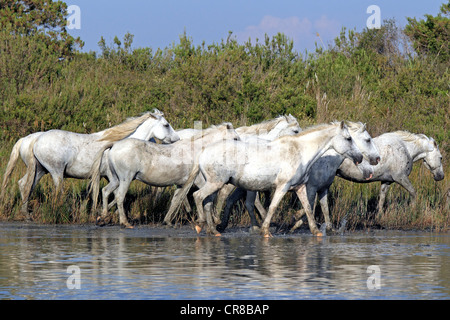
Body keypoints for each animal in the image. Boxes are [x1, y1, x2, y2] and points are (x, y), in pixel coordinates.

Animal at [19, 109, 179, 216]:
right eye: (166, 125)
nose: (177, 139)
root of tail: (36, 138)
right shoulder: (112, 176)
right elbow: (112, 193)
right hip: (55, 172)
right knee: (56, 190)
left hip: (40, 170)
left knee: (25, 185)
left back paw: (26, 213)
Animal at [89, 122, 241, 228]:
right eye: (235, 138)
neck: (197, 151)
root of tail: (114, 145)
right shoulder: (200, 182)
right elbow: (207, 198)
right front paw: (211, 219)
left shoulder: (181, 184)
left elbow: (176, 200)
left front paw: (167, 221)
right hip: (125, 179)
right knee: (119, 197)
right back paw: (124, 222)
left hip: (116, 179)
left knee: (105, 191)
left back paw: (103, 218)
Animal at [174, 121, 364, 236]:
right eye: (348, 138)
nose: (360, 157)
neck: (300, 152)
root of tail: (203, 151)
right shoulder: (282, 187)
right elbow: (272, 207)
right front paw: (265, 231)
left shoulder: (300, 187)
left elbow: (308, 209)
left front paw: (316, 231)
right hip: (216, 183)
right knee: (198, 196)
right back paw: (200, 224)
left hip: (215, 184)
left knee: (207, 202)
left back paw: (214, 230)